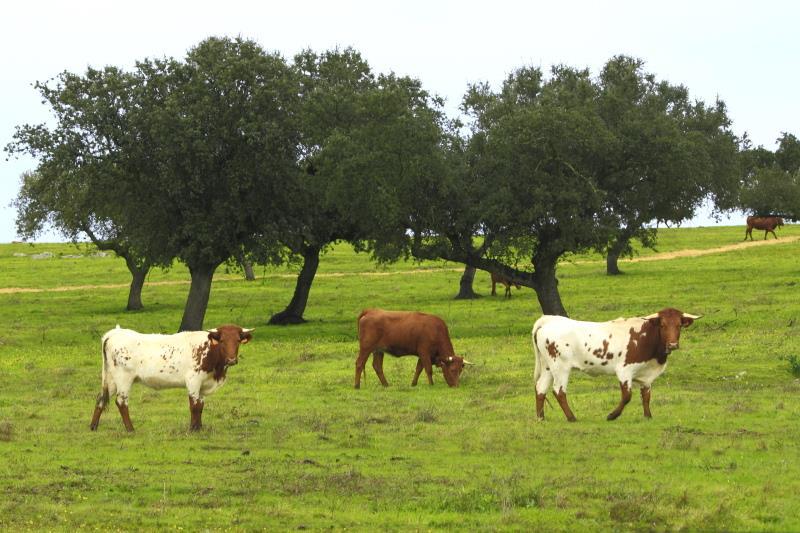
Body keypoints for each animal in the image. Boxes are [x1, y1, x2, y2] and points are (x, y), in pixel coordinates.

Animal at [88, 322, 252, 430]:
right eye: (222, 340)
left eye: (238, 340)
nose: (231, 359)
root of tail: (114, 333)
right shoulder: (193, 380)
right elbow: (194, 406)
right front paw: (192, 429)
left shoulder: (203, 384)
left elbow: (200, 406)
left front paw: (199, 427)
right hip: (123, 378)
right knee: (121, 402)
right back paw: (130, 429)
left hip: (110, 379)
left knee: (101, 398)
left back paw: (93, 427)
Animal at [532, 308, 700, 420]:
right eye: (663, 325)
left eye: (679, 325)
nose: (673, 344)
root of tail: (548, 320)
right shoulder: (624, 370)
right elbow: (627, 396)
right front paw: (612, 415)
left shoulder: (646, 376)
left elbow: (646, 396)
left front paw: (648, 416)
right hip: (560, 366)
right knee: (558, 391)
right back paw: (571, 417)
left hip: (548, 366)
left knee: (541, 388)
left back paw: (541, 418)